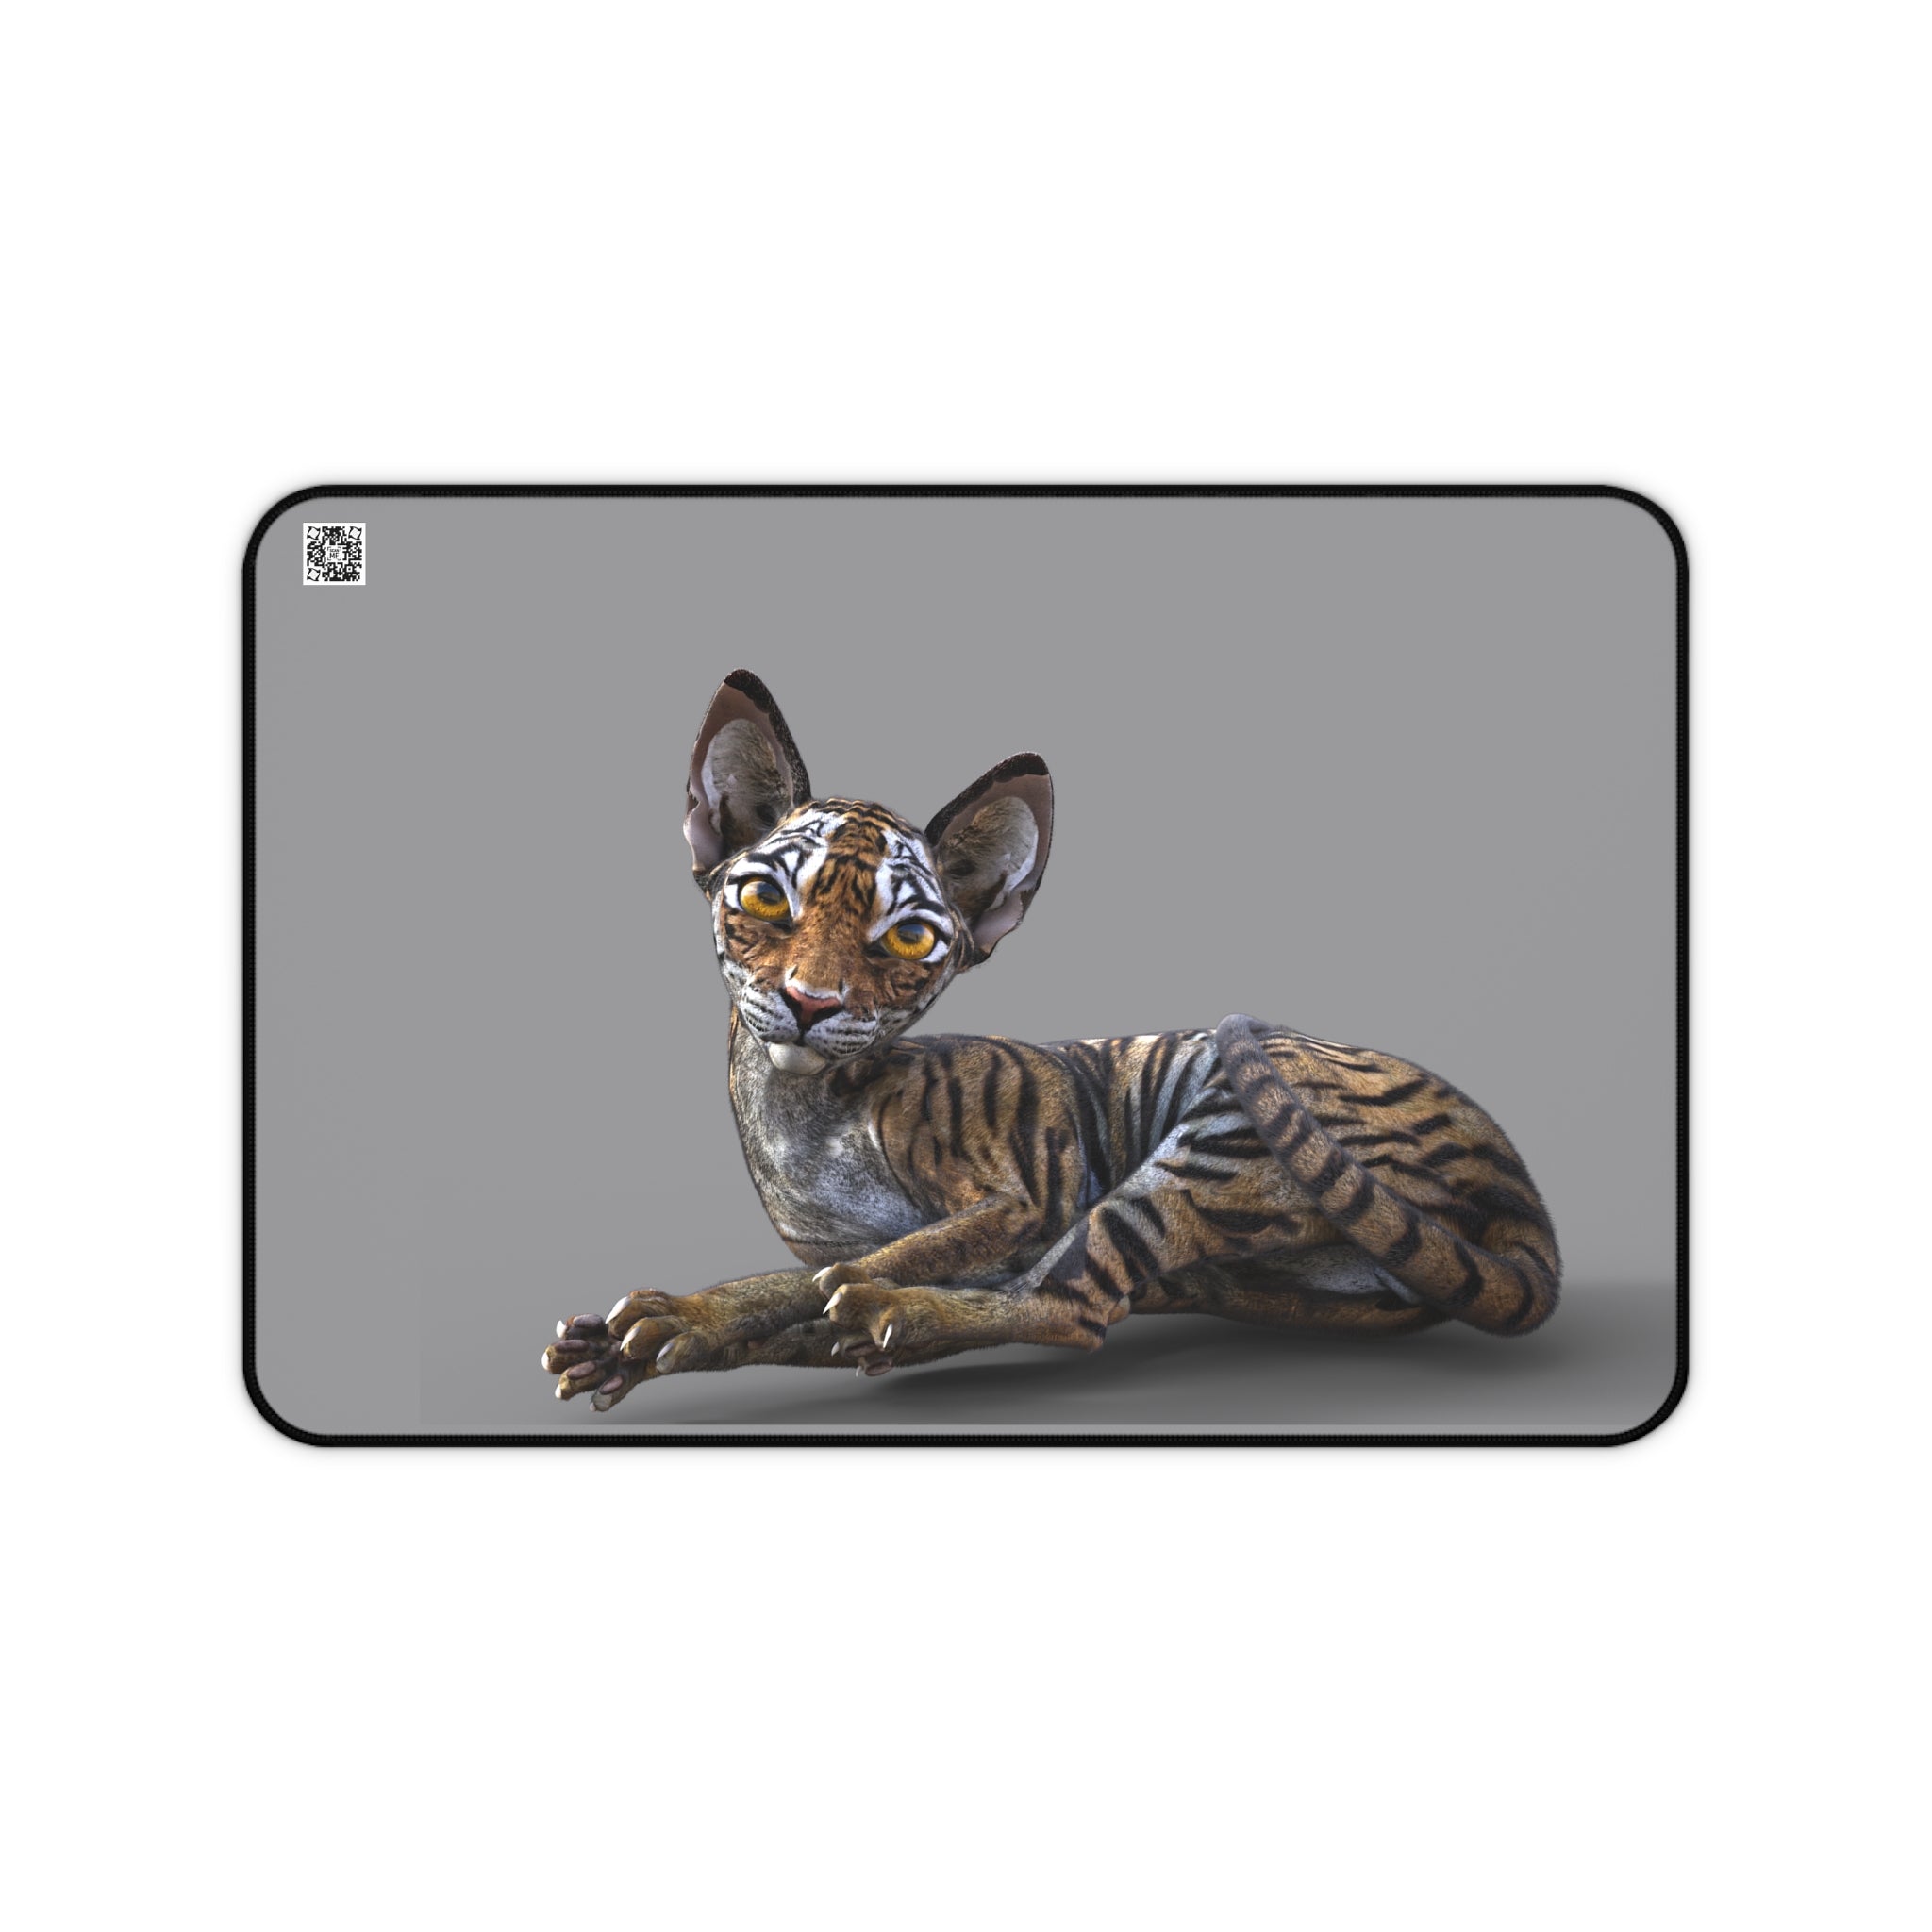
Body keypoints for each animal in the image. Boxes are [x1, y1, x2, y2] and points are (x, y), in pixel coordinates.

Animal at [542, 669, 1561, 1410]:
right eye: (763, 898)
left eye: (905, 938)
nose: (809, 1002)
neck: (801, 1109)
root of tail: (1518, 1182)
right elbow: (812, 1291)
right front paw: (652, 1337)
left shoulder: (1021, 1198)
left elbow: (850, 1266)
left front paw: (687, 1313)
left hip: (1210, 1140)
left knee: (1070, 1306)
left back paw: (894, 1315)